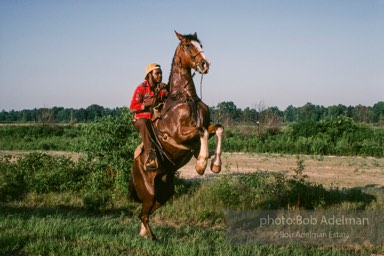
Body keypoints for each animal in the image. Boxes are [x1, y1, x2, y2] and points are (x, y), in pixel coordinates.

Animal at [130, 31, 224, 240]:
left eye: (200, 44)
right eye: (188, 45)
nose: (205, 64)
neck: (185, 97)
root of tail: (134, 168)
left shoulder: (206, 126)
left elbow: (218, 129)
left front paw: (215, 165)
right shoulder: (179, 134)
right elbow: (201, 131)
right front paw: (201, 163)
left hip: (164, 193)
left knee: (145, 213)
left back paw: (143, 233)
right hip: (149, 192)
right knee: (143, 214)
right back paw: (151, 237)